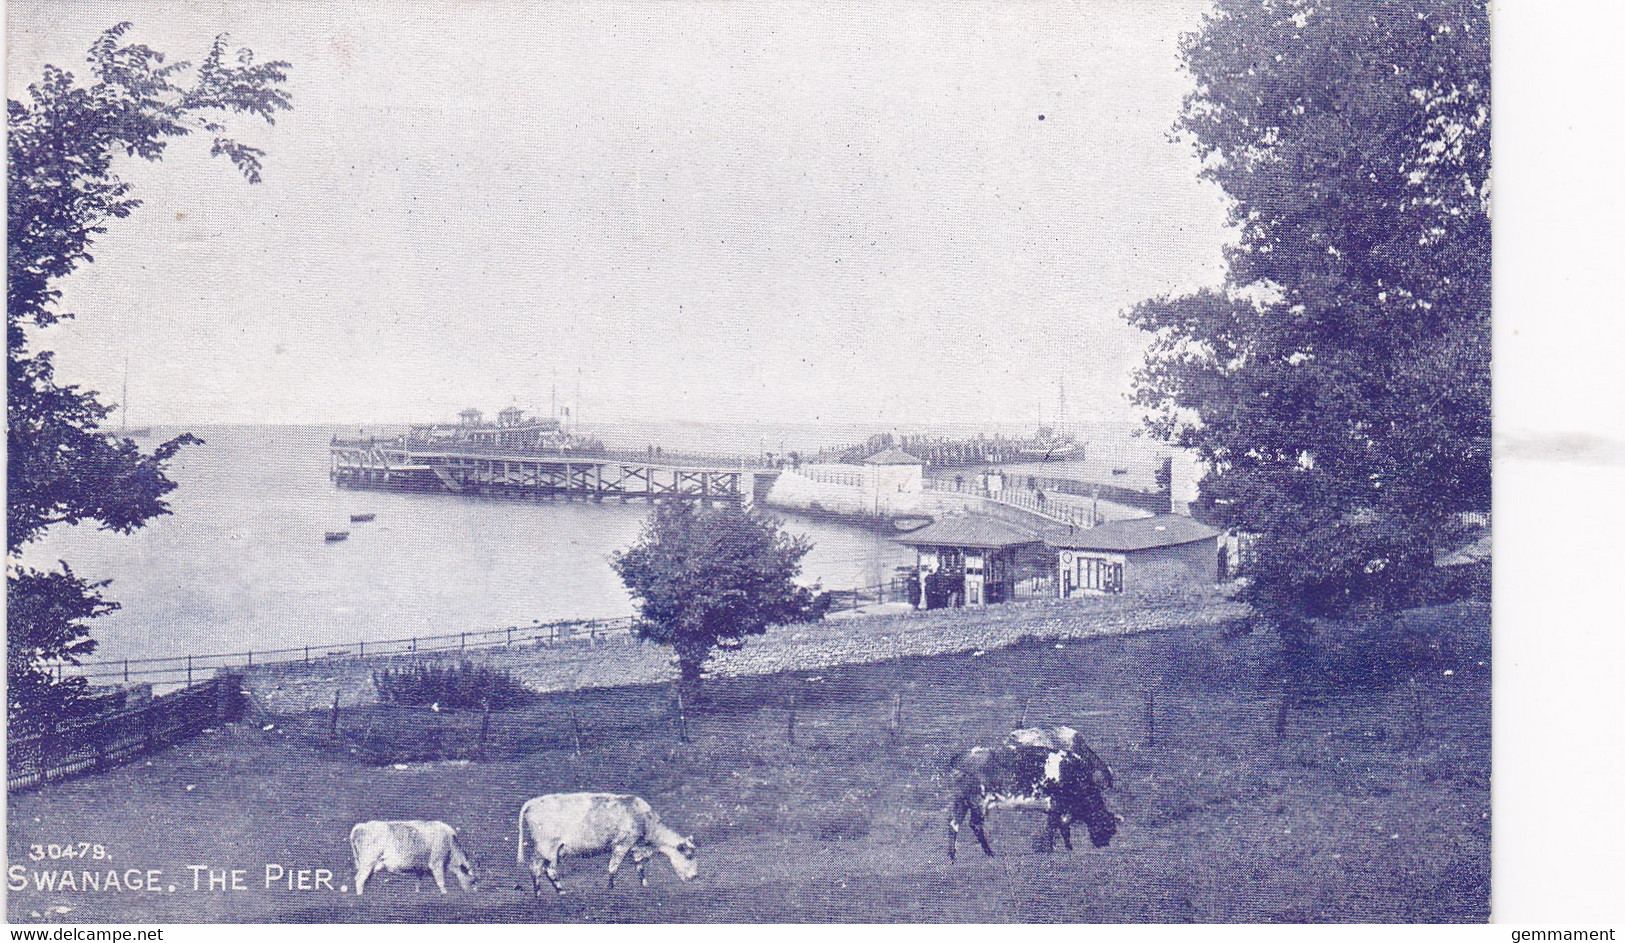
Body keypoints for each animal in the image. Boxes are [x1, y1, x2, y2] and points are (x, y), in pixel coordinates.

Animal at [516, 793, 695, 897]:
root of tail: (533, 802)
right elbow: (613, 866)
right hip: (546, 846)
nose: (694, 876)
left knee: (542, 868)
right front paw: (610, 887)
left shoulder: (636, 846)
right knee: (542, 868)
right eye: (689, 856)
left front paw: (644, 884)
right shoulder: (623, 844)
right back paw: (555, 891)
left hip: (552, 849)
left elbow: (639, 865)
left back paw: (544, 892)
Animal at [942, 744, 1118, 864]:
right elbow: (1053, 827)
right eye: (1107, 828)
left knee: (953, 824)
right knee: (975, 825)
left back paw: (952, 857)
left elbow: (1063, 828)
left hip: (961, 801)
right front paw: (1049, 851)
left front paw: (1068, 849)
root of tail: (962, 756)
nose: (1104, 845)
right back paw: (990, 853)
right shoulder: (1056, 805)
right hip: (978, 801)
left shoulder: (1062, 809)